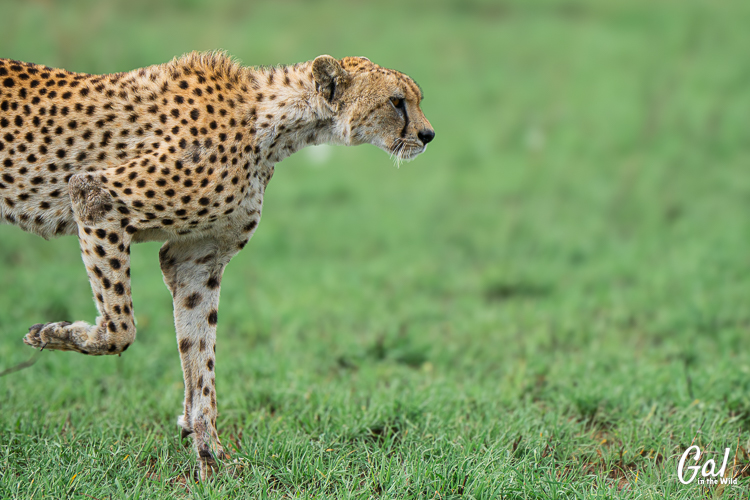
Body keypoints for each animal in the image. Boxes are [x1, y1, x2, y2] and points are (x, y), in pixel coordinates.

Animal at [0, 51, 434, 479]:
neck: (273, 123)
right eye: (397, 101)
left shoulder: (196, 259)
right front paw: (53, 334)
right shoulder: (97, 196)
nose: (428, 135)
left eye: (415, 99)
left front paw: (209, 452)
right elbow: (120, 329)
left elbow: (199, 355)